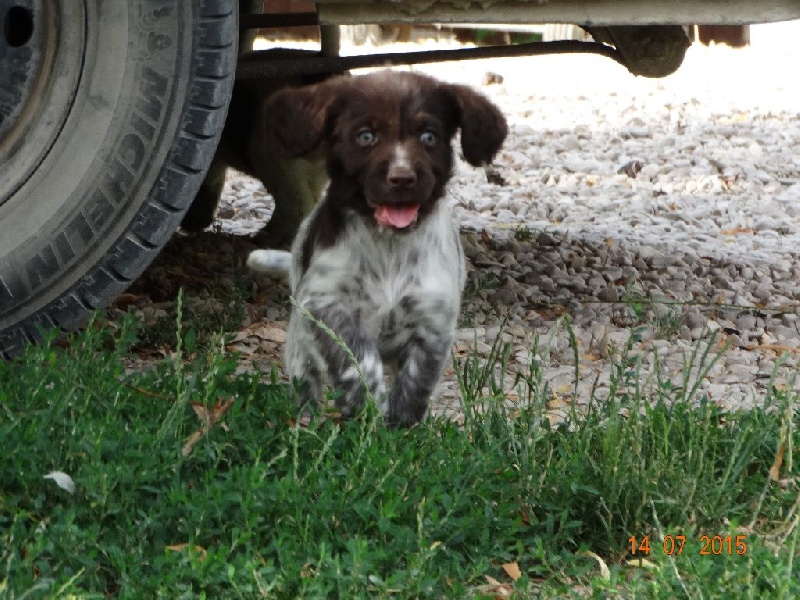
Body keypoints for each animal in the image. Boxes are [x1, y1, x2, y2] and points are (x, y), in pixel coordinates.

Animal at [247, 70, 506, 426]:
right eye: (366, 136)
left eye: (429, 137)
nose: (402, 178)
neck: (389, 245)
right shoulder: (328, 305)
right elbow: (356, 361)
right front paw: (367, 409)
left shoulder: (432, 317)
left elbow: (417, 379)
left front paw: (401, 426)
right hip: (300, 339)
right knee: (306, 381)